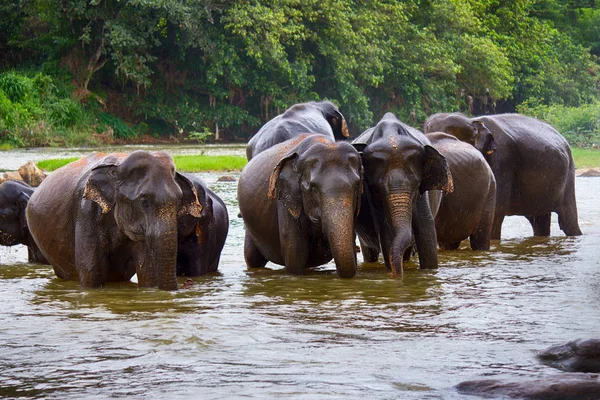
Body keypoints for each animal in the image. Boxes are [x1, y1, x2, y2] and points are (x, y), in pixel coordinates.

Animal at [27, 152, 204, 290]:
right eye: (144, 202)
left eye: (179, 201)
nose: (187, 283)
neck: (119, 164)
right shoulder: (86, 210)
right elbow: (90, 272)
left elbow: (147, 272)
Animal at [422, 111, 580, 239]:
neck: (473, 121)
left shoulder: (502, 160)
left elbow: (495, 213)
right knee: (539, 220)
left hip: (569, 176)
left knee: (568, 221)